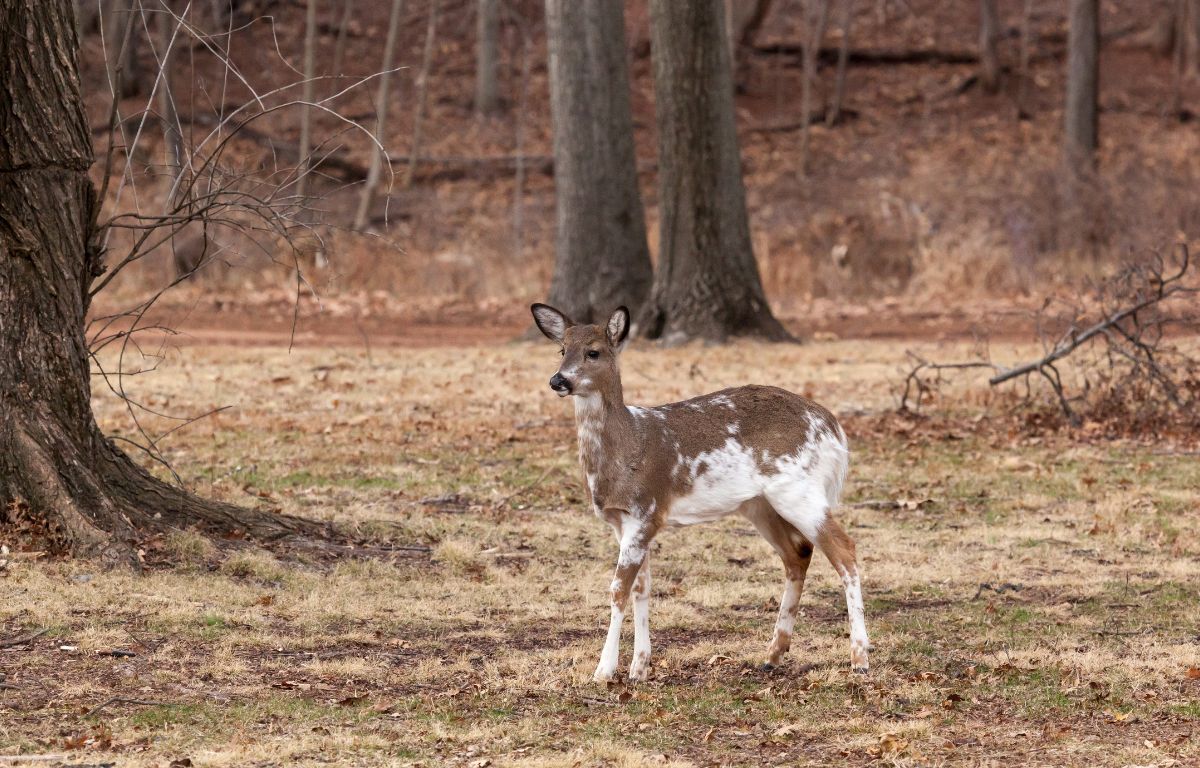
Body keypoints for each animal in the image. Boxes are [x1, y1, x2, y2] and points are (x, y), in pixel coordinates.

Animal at [530, 302, 868, 681]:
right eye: (562, 350)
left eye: (593, 352)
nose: (558, 380)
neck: (628, 447)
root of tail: (834, 428)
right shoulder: (623, 521)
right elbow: (642, 588)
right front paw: (639, 668)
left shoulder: (647, 509)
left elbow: (618, 589)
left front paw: (604, 671)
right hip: (760, 504)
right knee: (798, 553)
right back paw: (773, 654)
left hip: (798, 489)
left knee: (844, 549)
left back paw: (859, 659)